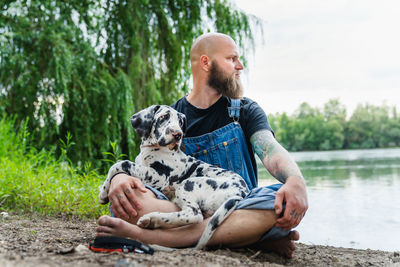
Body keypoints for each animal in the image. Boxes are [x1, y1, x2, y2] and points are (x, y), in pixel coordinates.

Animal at [98, 105, 248, 251]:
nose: (178, 134)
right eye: (164, 117)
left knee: (194, 215)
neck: (151, 149)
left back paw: (152, 219)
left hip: (189, 183)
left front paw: (103, 193)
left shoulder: (159, 176)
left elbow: (120, 164)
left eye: (180, 123)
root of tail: (241, 193)